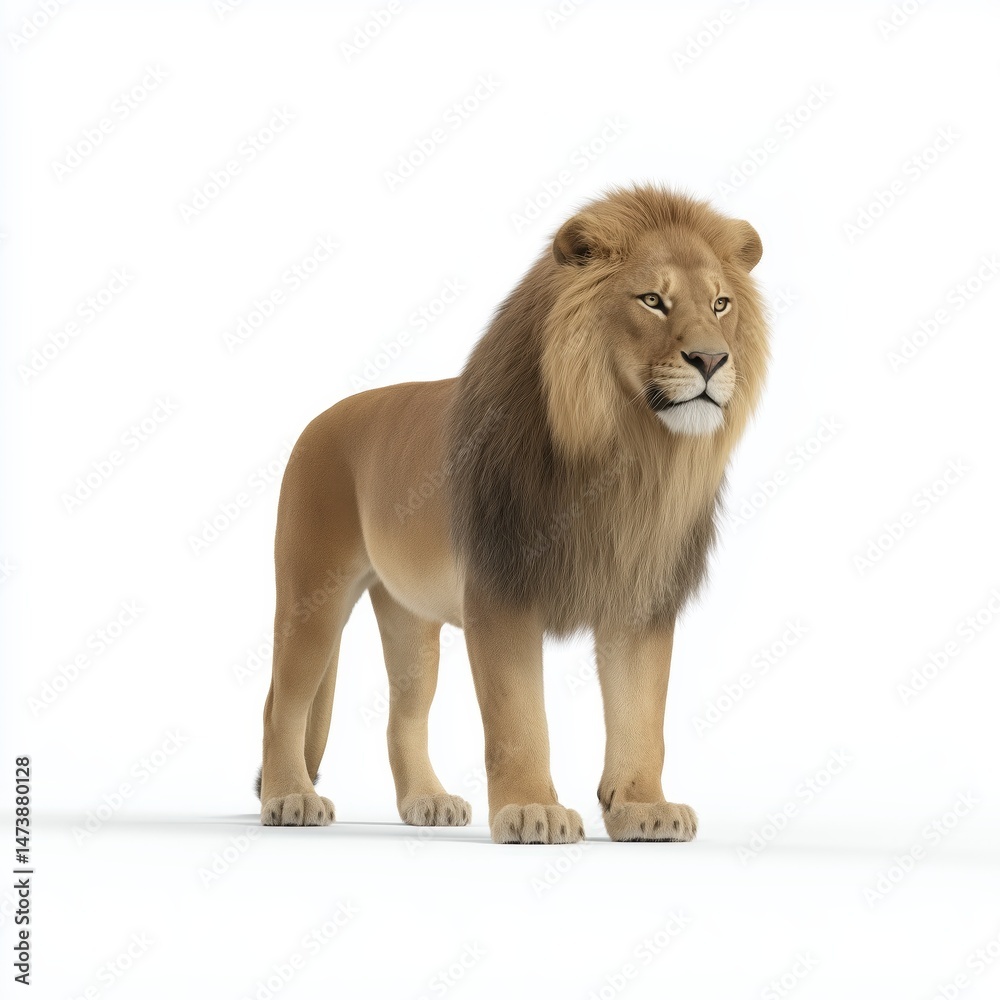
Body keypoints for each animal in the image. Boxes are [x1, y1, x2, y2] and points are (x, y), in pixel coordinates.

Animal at [256, 184, 769, 843]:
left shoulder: (637, 595)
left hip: (409, 616)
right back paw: (289, 798)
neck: (626, 450)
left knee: (403, 715)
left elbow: (642, 715)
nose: (711, 360)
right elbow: (519, 719)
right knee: (282, 704)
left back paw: (429, 802)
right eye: (653, 300)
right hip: (311, 594)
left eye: (721, 303)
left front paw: (641, 808)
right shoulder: (500, 593)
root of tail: (322, 417)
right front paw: (532, 811)